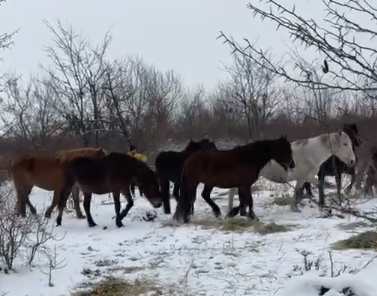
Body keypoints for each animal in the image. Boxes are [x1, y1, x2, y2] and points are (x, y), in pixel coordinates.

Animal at [226, 131, 356, 216]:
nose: (352, 161)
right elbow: (309, 188)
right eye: (345, 144)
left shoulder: (304, 178)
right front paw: (298, 207)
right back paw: (232, 211)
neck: (311, 152)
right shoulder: (305, 177)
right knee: (233, 192)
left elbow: (301, 190)